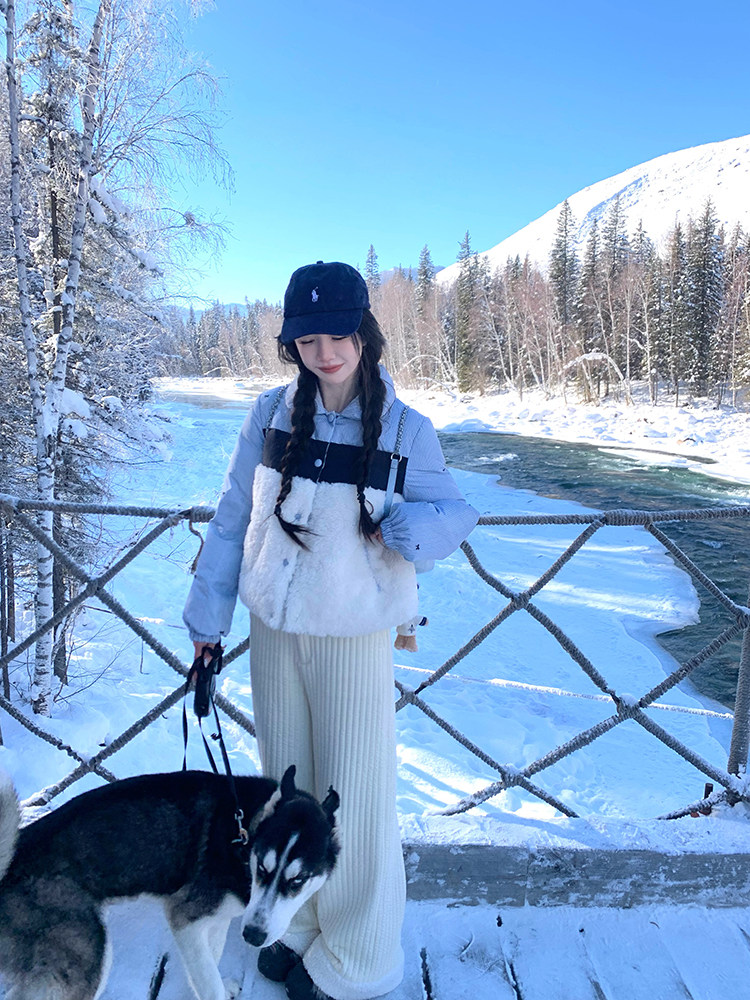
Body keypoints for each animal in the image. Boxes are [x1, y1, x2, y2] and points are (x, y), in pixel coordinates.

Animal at [0, 765, 339, 1000]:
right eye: (263, 869)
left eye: (298, 880)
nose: (253, 936)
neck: (243, 836)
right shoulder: (184, 917)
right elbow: (208, 980)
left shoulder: (216, 919)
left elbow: (209, 963)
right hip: (87, 954)